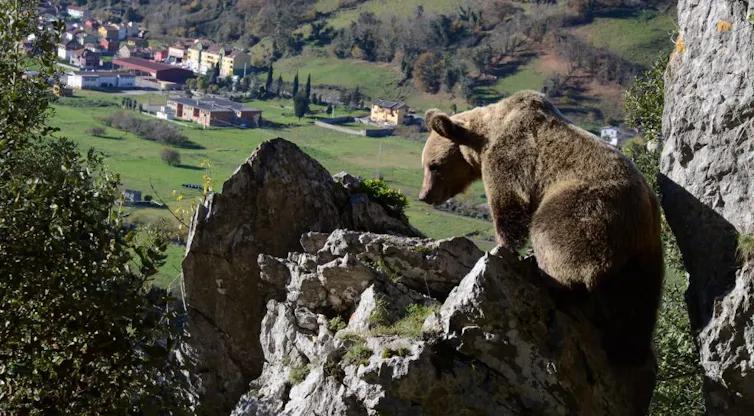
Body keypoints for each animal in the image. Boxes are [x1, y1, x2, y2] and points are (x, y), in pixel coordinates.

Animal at [418, 90, 664, 366]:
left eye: (434, 166)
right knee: (638, 301)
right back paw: (631, 349)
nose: (424, 195)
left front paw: (503, 247)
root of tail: (643, 216)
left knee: (557, 239)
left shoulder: (510, 161)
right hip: (647, 255)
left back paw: (553, 280)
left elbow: (509, 208)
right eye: (426, 164)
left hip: (587, 211)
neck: (483, 139)